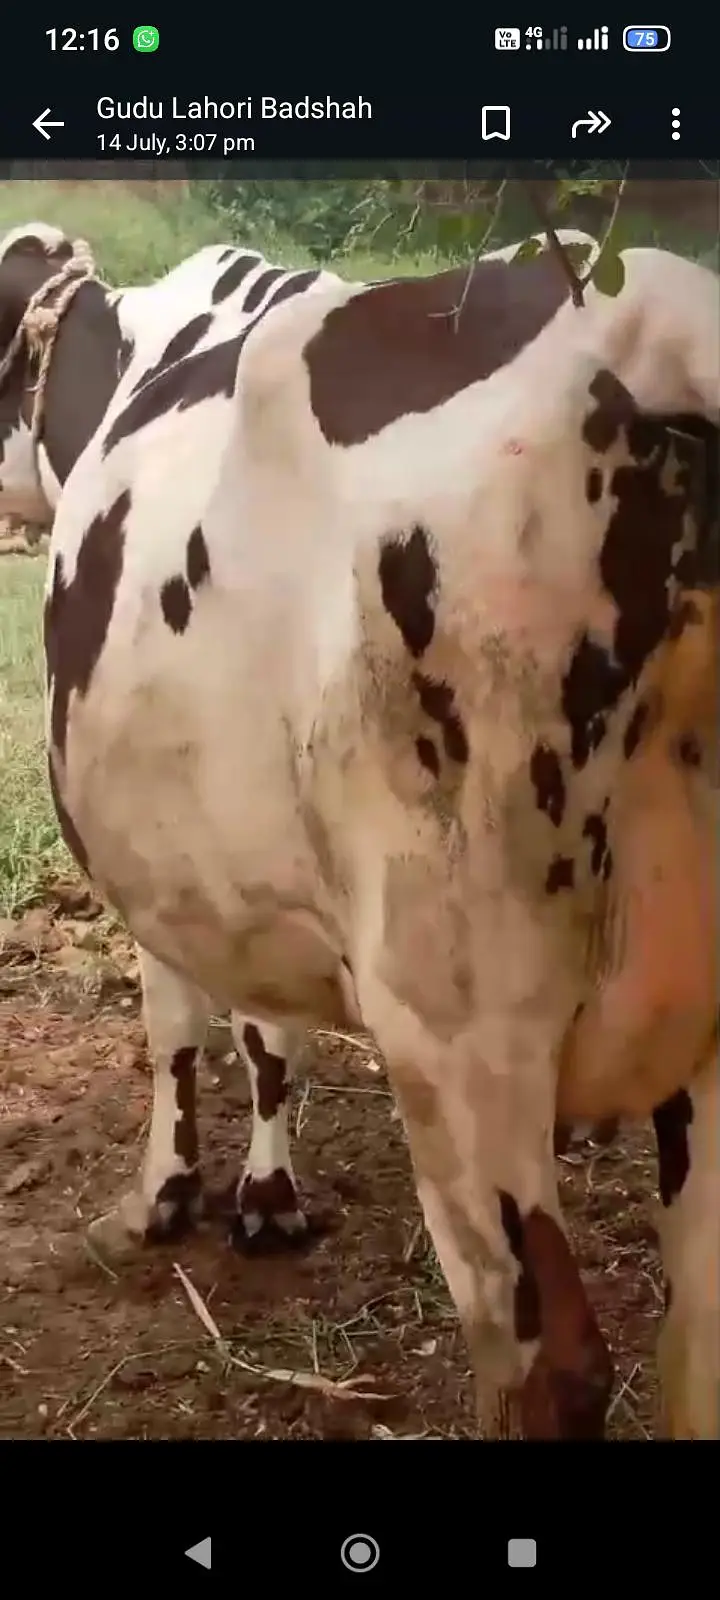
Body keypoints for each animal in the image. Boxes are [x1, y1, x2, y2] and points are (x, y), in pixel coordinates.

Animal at [43, 233, 719, 1440]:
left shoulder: (175, 888)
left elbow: (181, 1025)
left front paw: (165, 1195)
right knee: (700, 1352)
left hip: (458, 1024)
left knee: (550, 1369)